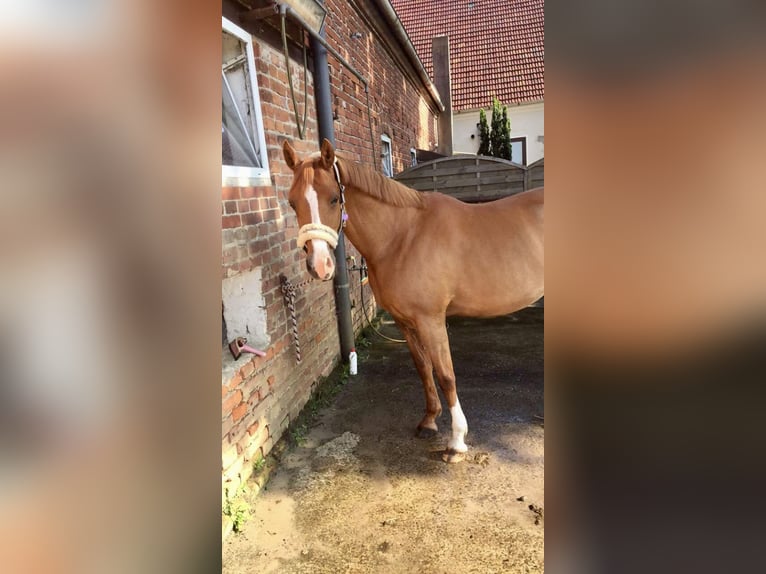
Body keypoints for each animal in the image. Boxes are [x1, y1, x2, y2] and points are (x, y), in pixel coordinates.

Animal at [284, 140, 544, 464]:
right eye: (292, 203)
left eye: (333, 199)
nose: (319, 266)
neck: (403, 236)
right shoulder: (405, 322)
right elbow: (423, 368)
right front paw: (429, 421)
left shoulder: (431, 320)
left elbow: (445, 375)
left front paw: (456, 442)